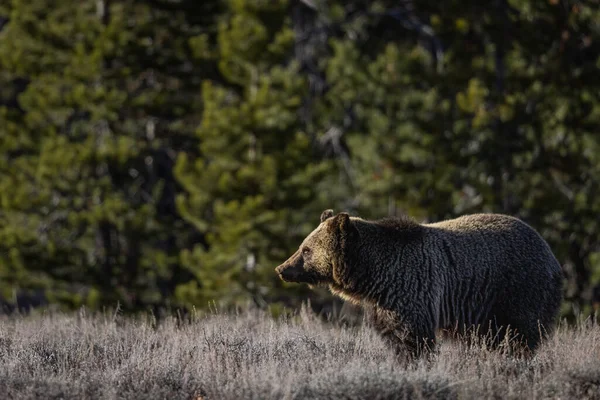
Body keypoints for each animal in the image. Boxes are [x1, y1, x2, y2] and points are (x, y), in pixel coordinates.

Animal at [274, 211, 564, 358]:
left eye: (306, 250)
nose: (282, 269)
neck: (374, 276)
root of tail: (550, 253)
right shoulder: (384, 303)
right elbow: (392, 336)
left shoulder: (413, 288)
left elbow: (413, 337)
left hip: (517, 288)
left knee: (521, 333)